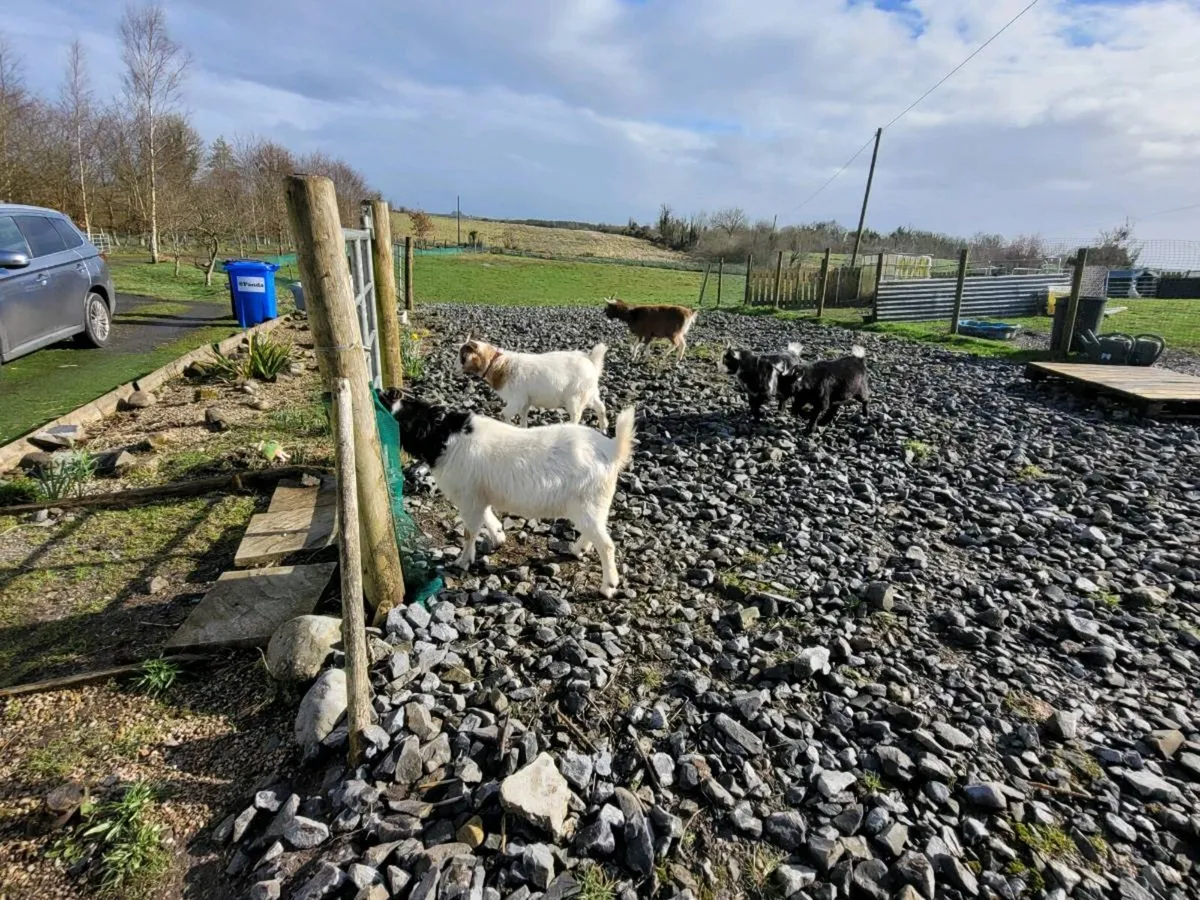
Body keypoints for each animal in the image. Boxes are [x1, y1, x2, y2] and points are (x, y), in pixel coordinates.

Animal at [379, 388, 636, 597]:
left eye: (407, 415)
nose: (388, 392)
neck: (444, 436)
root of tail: (613, 450)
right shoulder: (479, 496)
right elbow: (487, 517)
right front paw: (498, 537)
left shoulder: (469, 497)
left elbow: (469, 531)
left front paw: (462, 561)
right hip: (591, 506)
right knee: (595, 534)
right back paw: (576, 549)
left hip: (588, 504)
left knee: (607, 545)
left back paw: (608, 587)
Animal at [459, 336, 609, 431]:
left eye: (463, 357)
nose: (455, 369)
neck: (500, 366)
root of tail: (591, 361)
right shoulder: (525, 401)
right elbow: (523, 415)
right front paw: (522, 428)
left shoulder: (517, 399)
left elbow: (505, 413)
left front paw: (510, 427)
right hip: (590, 392)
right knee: (600, 407)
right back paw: (604, 428)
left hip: (575, 396)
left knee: (576, 415)